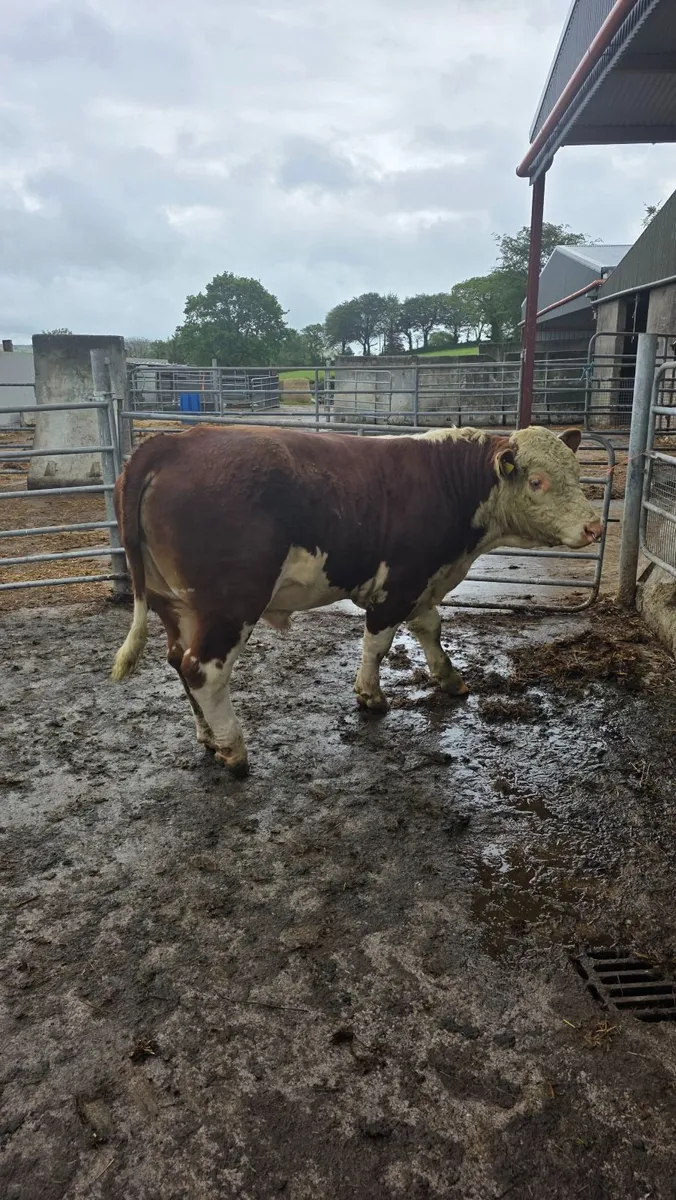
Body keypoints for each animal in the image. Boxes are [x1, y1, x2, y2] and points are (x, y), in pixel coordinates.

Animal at [111, 423, 602, 776]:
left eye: (577, 475)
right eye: (537, 481)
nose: (595, 527)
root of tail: (173, 442)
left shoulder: (422, 582)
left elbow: (430, 627)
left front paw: (450, 678)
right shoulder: (399, 582)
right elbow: (378, 643)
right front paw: (371, 696)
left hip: (176, 604)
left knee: (179, 661)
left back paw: (209, 738)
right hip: (230, 603)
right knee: (204, 670)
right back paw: (233, 749)